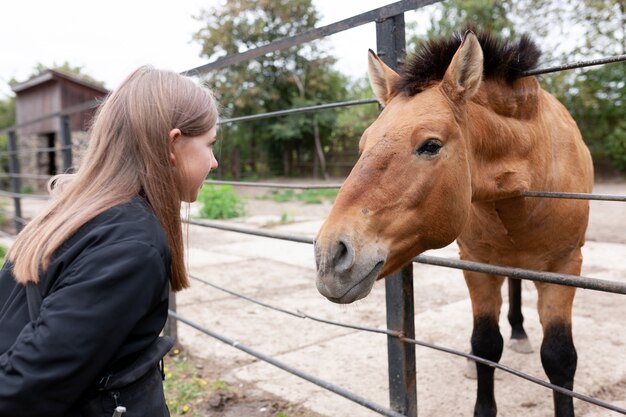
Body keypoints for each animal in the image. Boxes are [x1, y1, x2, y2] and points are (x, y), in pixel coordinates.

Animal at [314, 30, 592, 416]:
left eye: (431, 145)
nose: (329, 256)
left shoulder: (564, 268)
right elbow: (486, 344)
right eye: (363, 144)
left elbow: (559, 358)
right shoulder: (477, 265)